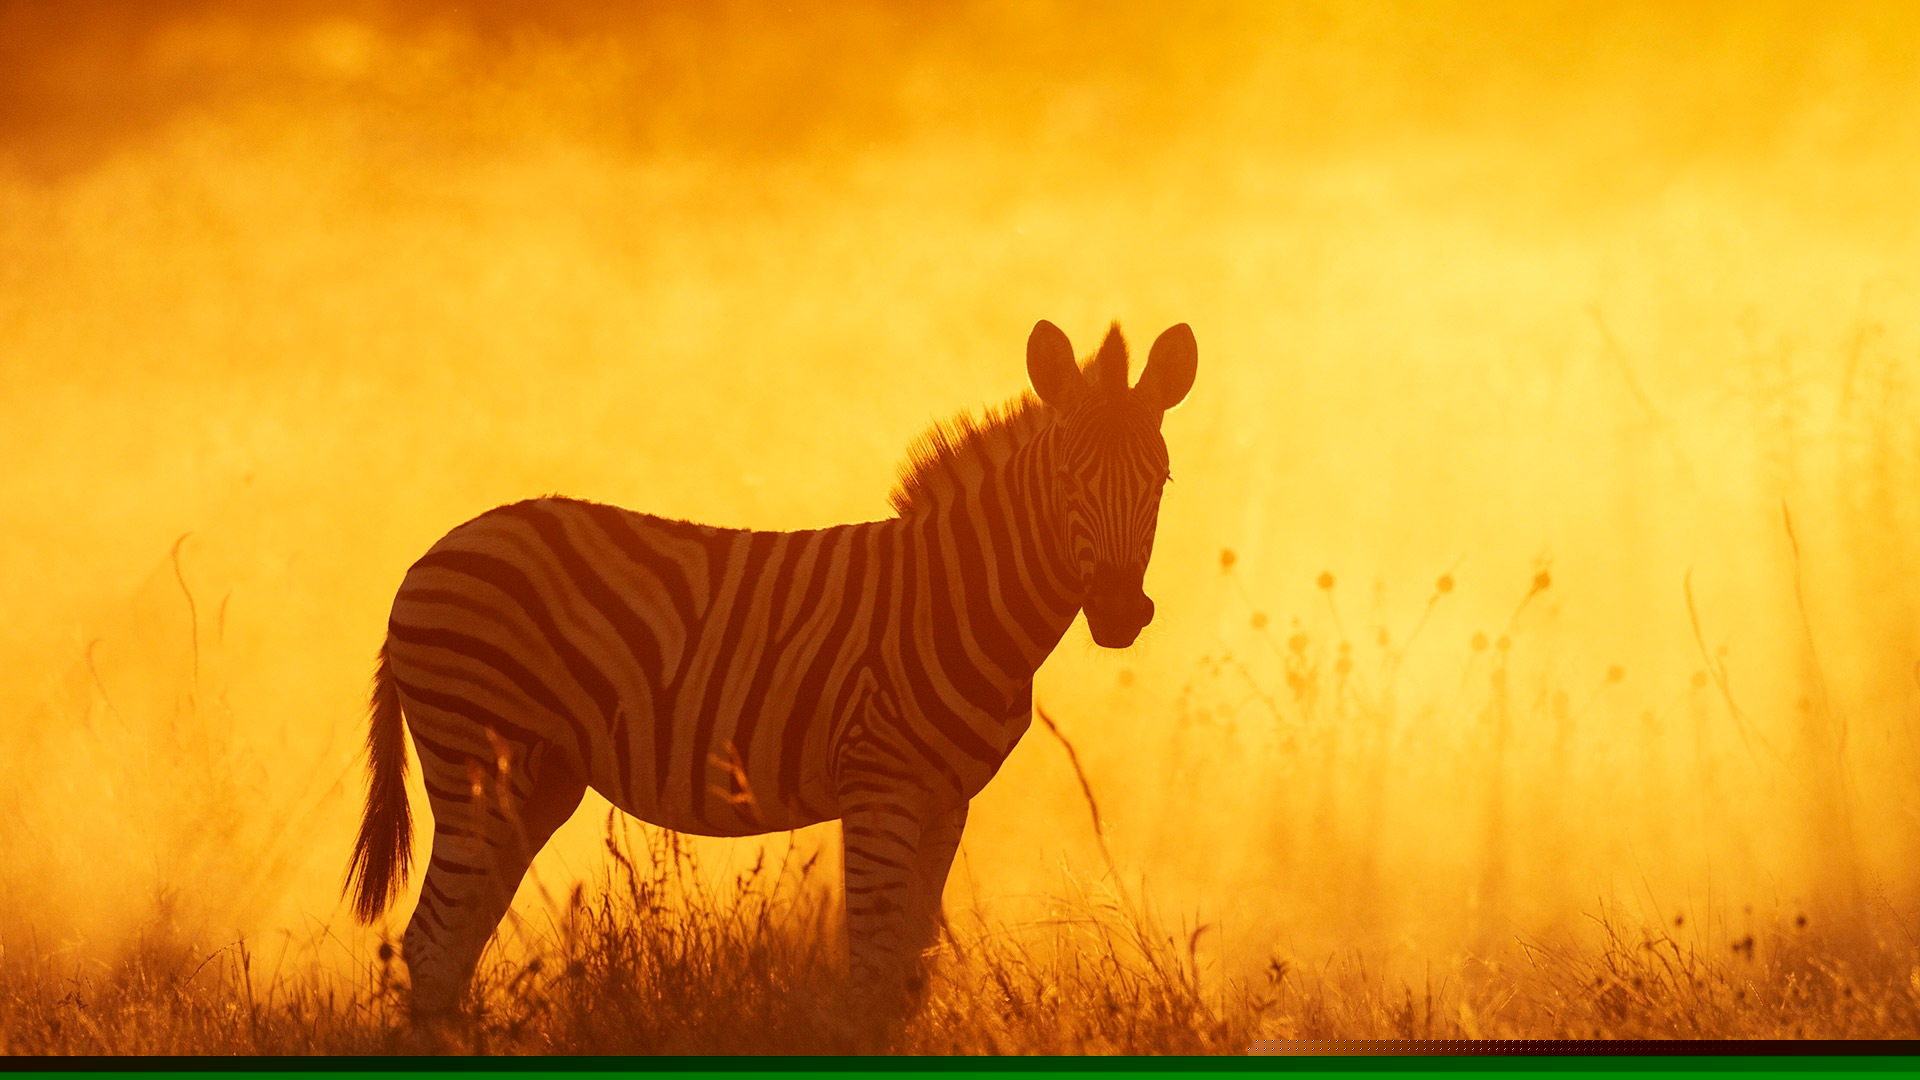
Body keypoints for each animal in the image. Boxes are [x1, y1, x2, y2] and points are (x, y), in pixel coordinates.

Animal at [344, 318, 1198, 1024]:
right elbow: (873, 974)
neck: (958, 596)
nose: (1119, 612)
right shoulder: (882, 785)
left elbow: (911, 974)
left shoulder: (947, 800)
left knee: (455, 945)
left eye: (1160, 483)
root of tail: (429, 555)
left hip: (537, 779)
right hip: (476, 759)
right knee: (431, 946)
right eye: (1068, 482)